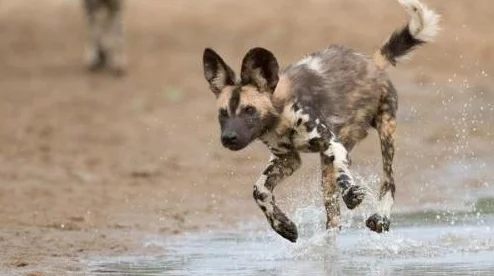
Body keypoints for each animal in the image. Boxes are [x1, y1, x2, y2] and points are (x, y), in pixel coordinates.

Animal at [202, 0, 440, 242]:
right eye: (223, 113)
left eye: (249, 110)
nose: (228, 138)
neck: (280, 118)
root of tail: (371, 63)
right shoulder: (287, 158)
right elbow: (259, 190)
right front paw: (283, 226)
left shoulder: (332, 144)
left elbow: (344, 175)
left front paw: (351, 194)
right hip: (326, 168)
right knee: (333, 216)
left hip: (385, 131)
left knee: (388, 180)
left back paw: (380, 218)